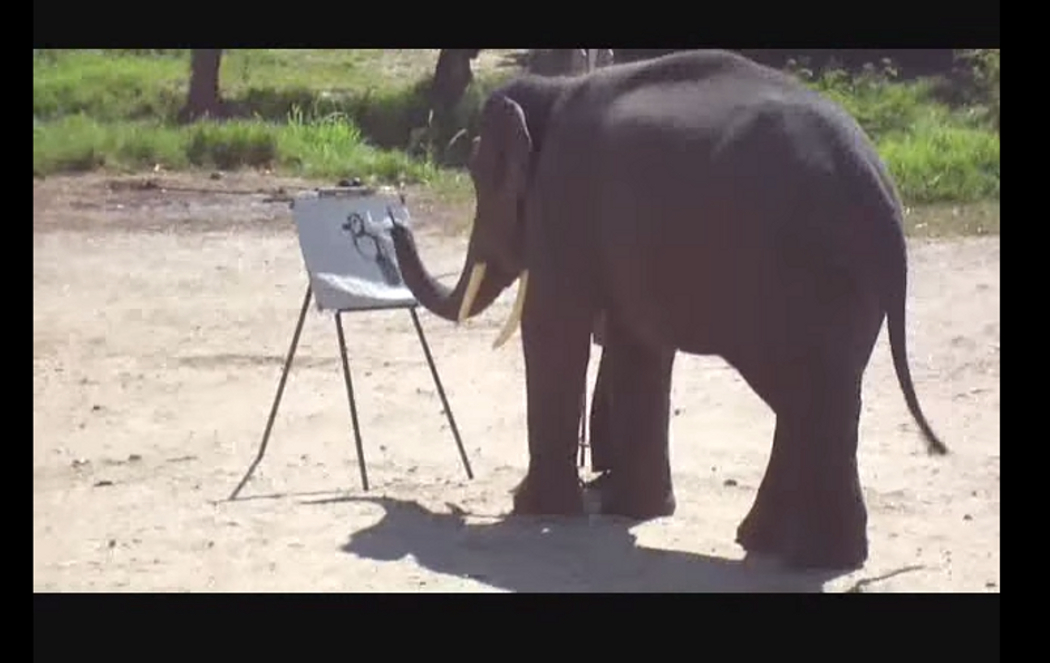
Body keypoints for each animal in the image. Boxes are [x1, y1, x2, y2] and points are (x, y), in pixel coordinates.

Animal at [390, 49, 948, 571]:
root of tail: (883, 199)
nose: (395, 218)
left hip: (804, 277)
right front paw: (634, 512)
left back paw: (809, 557)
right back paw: (789, 549)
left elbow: (555, 326)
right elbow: (637, 342)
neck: (554, 89)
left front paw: (535, 509)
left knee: (809, 396)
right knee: (817, 397)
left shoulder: (563, 200)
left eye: (479, 175)